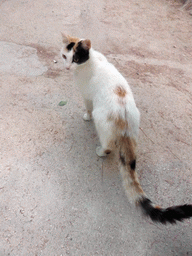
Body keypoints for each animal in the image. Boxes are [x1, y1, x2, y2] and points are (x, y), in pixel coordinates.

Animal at [60, 32, 192, 224]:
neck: (91, 59)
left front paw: (86, 116)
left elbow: (87, 107)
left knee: (108, 146)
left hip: (102, 121)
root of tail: (125, 121)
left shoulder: (86, 96)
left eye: (76, 59)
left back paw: (100, 151)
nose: (67, 67)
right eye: (64, 57)